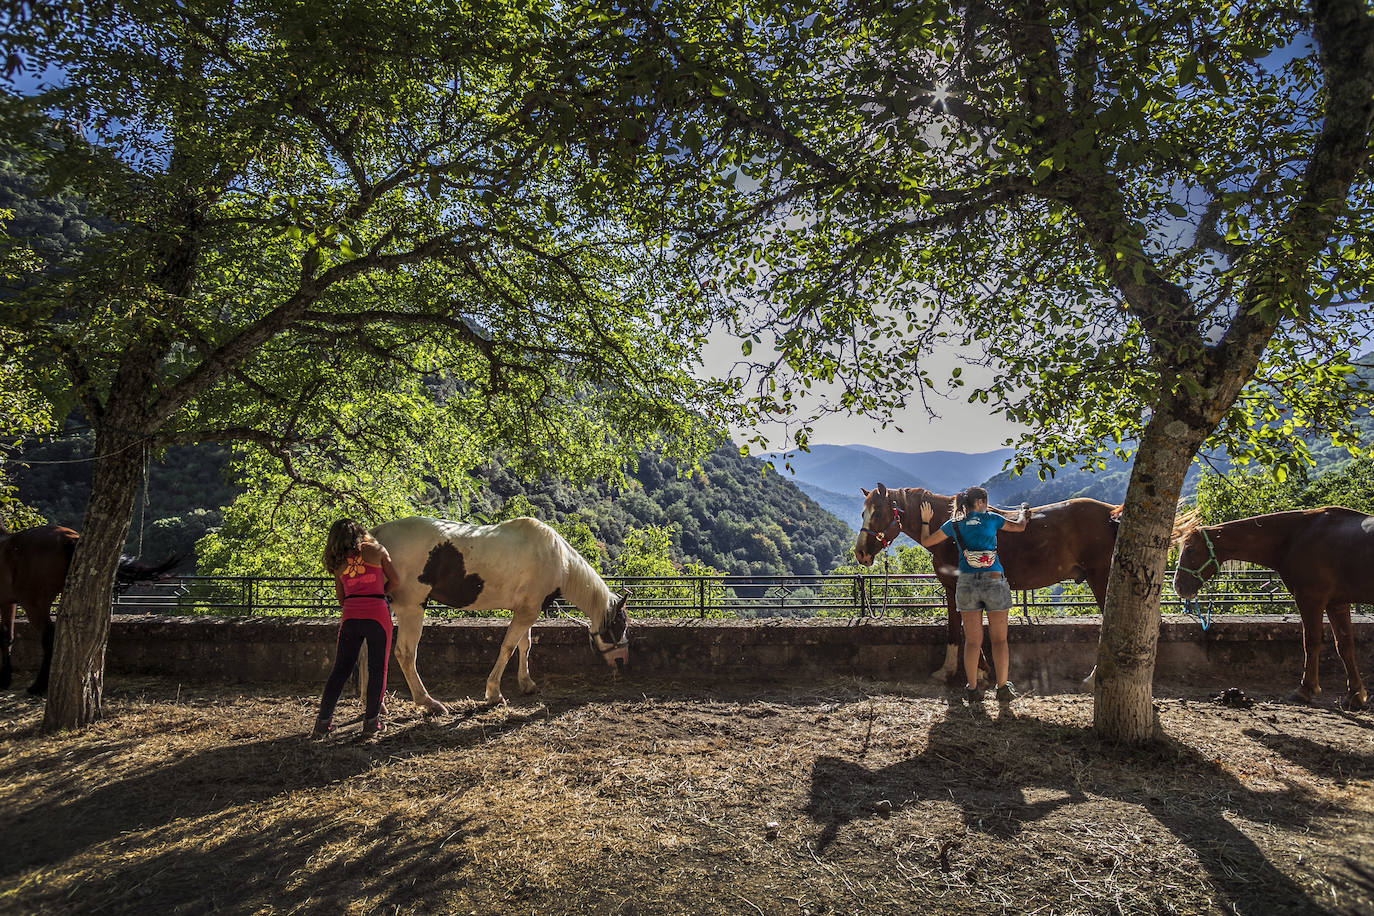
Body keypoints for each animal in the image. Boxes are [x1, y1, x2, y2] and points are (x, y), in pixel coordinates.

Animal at [0, 521, 179, 694]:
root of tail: (69, 538)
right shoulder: (8, 602)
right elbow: (6, 636)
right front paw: (5, 679)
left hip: (35, 603)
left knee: (49, 637)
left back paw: (38, 686)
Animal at [851, 483, 1121, 683]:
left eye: (877, 512)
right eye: (862, 513)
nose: (860, 553)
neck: (949, 530)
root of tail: (1112, 513)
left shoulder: (959, 588)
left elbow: (962, 628)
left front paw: (970, 671)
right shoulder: (953, 589)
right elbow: (957, 628)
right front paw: (963, 670)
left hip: (1101, 578)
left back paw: (1094, 677)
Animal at [1176, 513, 1368, 714]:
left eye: (1189, 549)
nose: (1178, 585)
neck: (1295, 537)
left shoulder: (1310, 598)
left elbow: (1311, 642)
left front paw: (1305, 690)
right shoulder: (1337, 603)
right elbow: (1345, 646)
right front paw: (1355, 695)